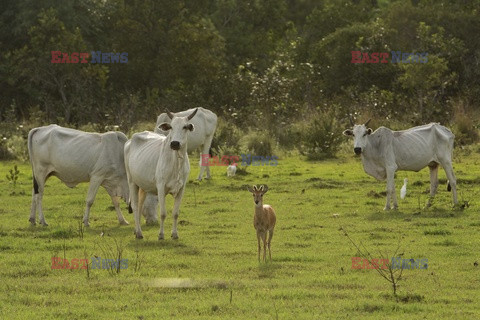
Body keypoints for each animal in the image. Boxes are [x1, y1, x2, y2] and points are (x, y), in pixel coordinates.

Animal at [125, 109, 199, 239]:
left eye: (185, 127)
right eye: (171, 127)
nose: (175, 143)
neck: (176, 163)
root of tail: (129, 141)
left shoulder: (181, 188)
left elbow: (175, 213)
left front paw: (174, 234)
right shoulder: (160, 186)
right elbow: (163, 213)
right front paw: (161, 235)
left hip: (143, 186)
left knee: (139, 206)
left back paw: (136, 230)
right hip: (131, 181)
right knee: (134, 206)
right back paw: (139, 233)